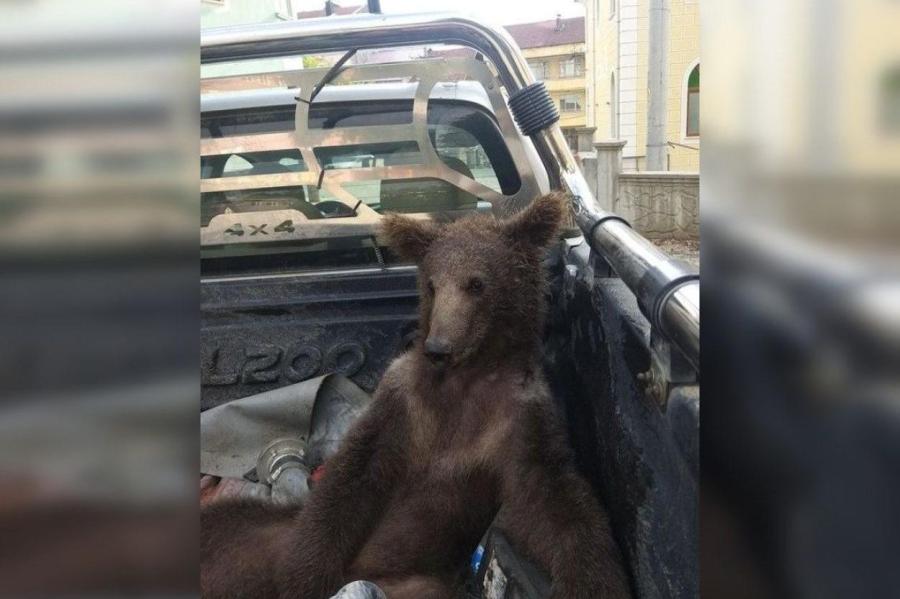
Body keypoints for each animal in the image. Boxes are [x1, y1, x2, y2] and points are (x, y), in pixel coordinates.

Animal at [200, 193, 628, 599]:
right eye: (433, 284)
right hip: (264, 531)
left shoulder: (520, 420)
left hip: (417, 585)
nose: (438, 347)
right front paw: (307, 578)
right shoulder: (402, 401)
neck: (466, 379)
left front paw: (593, 582)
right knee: (231, 525)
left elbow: (553, 505)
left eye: (476, 283)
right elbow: (348, 481)